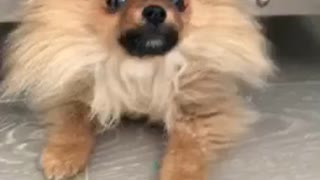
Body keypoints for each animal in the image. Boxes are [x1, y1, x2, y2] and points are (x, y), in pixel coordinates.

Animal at [1, 0, 274, 179]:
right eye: (114, 2)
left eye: (180, 2)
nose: (154, 11)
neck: (141, 65)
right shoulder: (79, 91)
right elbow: (73, 124)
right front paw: (63, 154)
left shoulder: (199, 108)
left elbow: (188, 149)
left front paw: (178, 173)